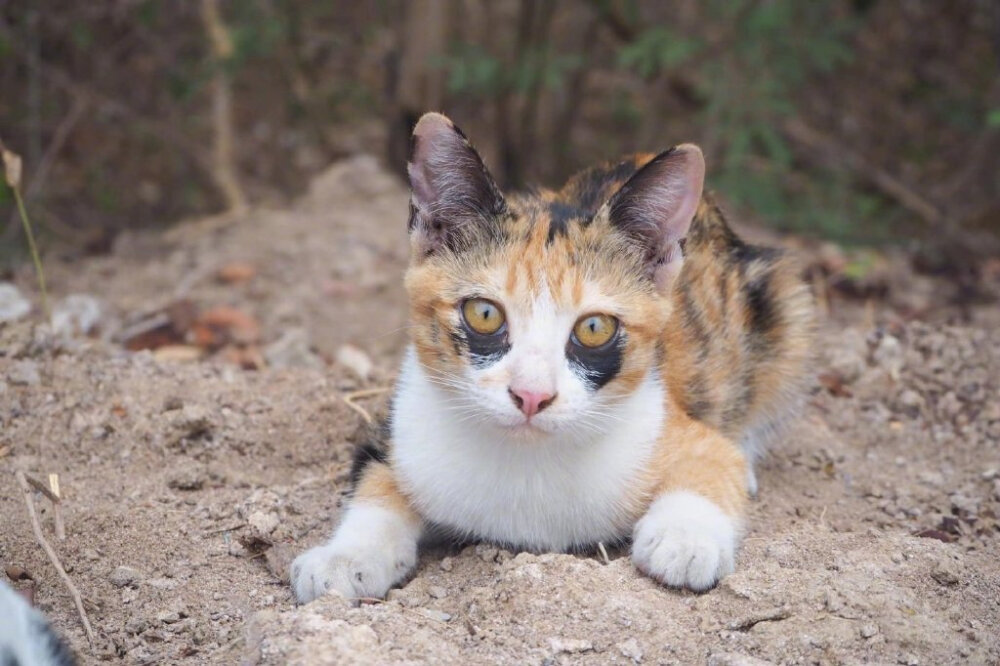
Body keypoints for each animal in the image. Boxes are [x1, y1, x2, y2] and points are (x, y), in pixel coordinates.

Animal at [290, 111, 812, 600]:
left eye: (594, 328)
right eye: (484, 313)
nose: (531, 395)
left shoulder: (678, 424)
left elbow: (714, 461)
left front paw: (684, 539)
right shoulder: (393, 428)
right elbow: (375, 484)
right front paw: (343, 558)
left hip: (780, 302)